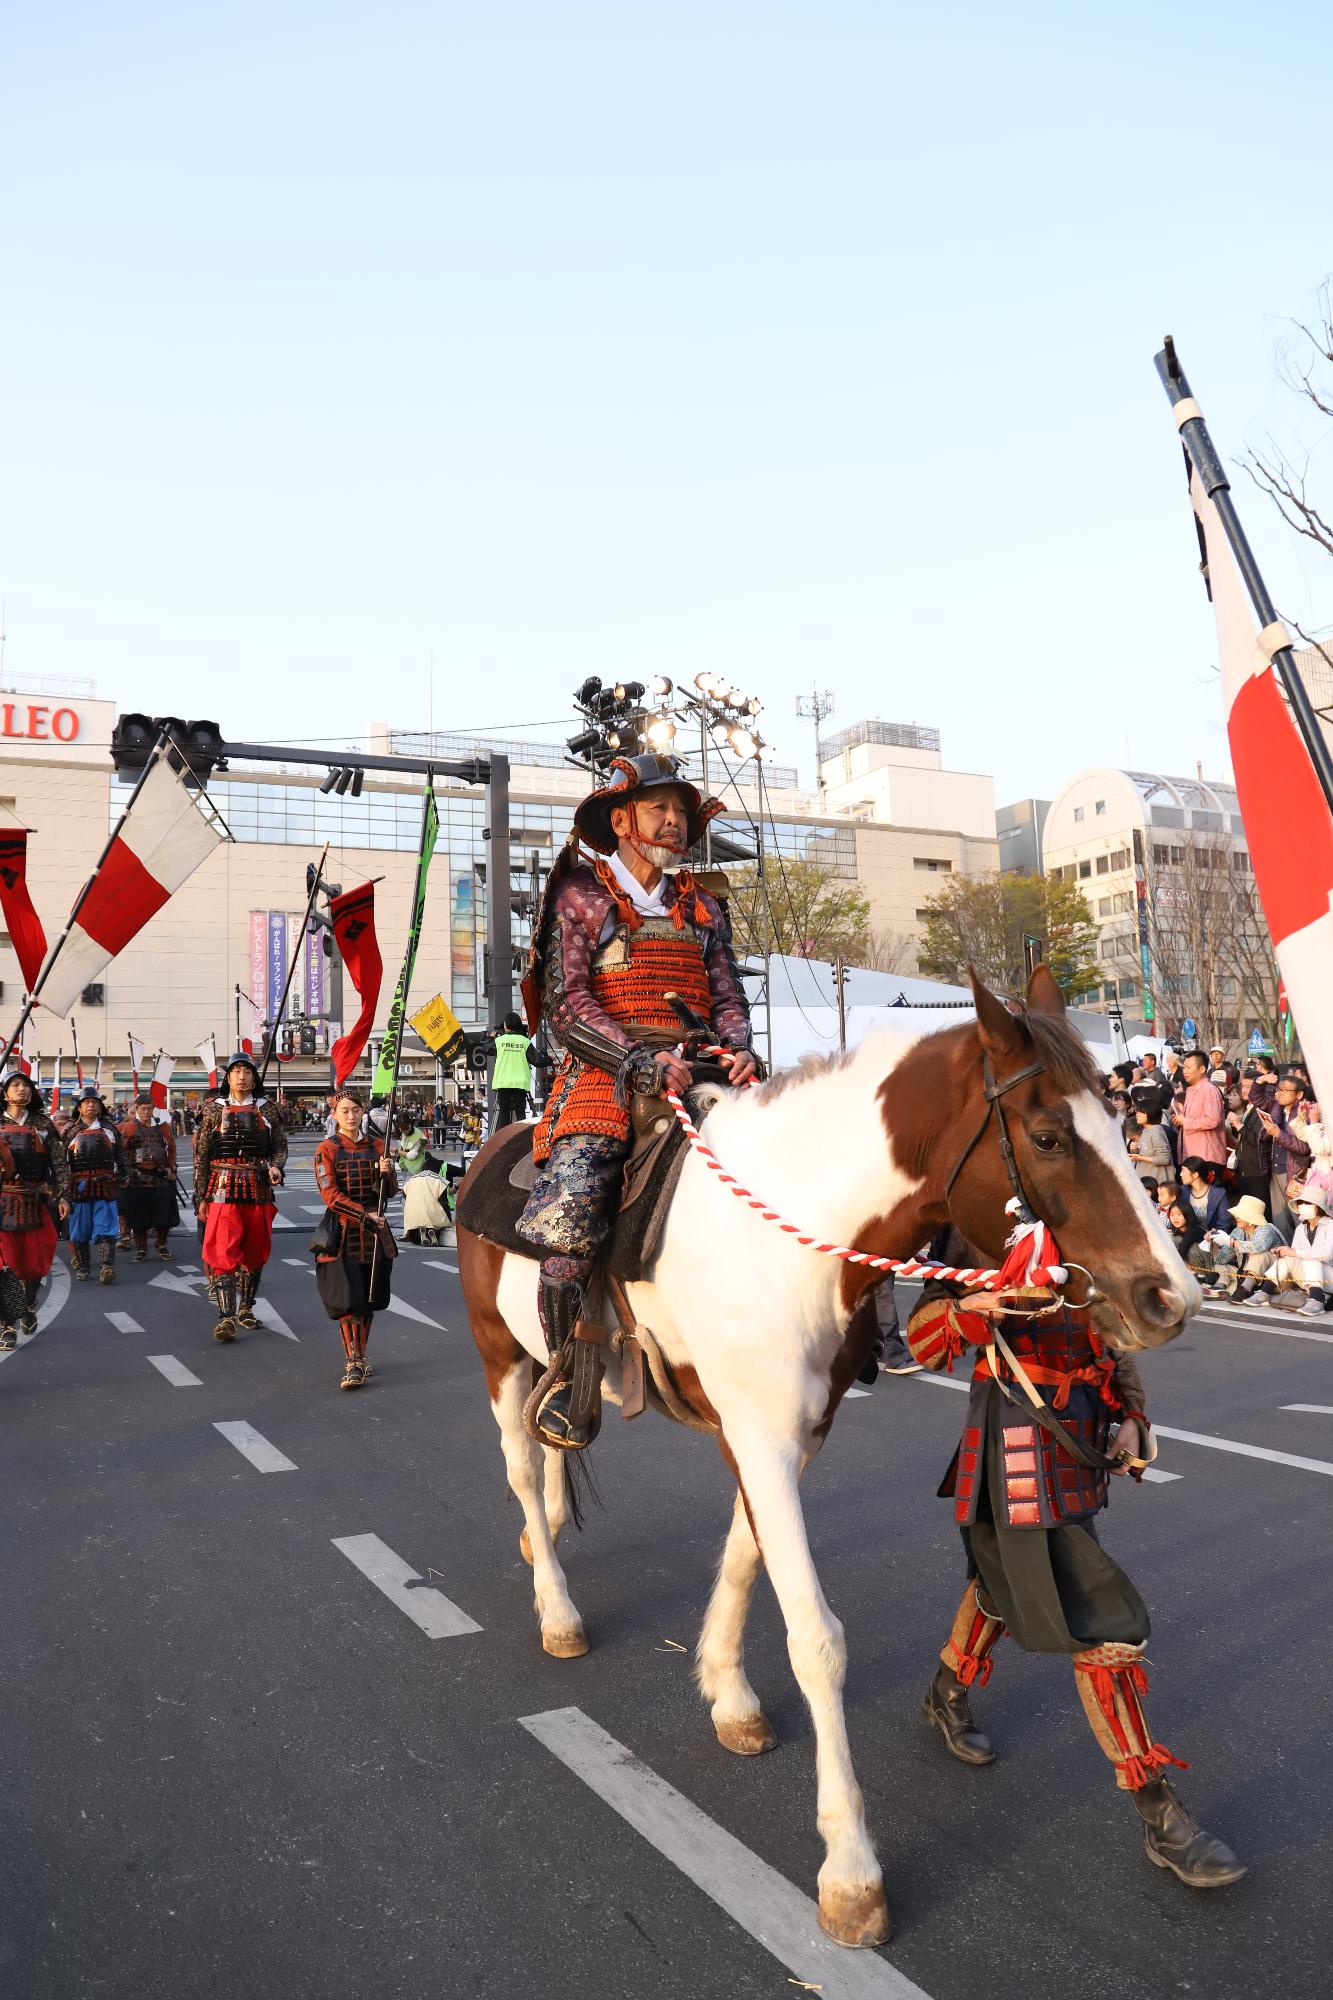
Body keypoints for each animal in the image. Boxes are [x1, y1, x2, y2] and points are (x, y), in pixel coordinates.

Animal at [456, 976, 1192, 1944]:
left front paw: (728, 1693)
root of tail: (493, 1143)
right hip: (498, 1356)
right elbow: (816, 1639)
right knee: (518, 1469)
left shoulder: (785, 1433)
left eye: (1118, 1119)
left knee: (545, 1462)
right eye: (1046, 1136)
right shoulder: (762, 1436)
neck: (790, 1238)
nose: (1169, 1297)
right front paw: (850, 1872)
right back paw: (557, 1608)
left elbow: (743, 1555)